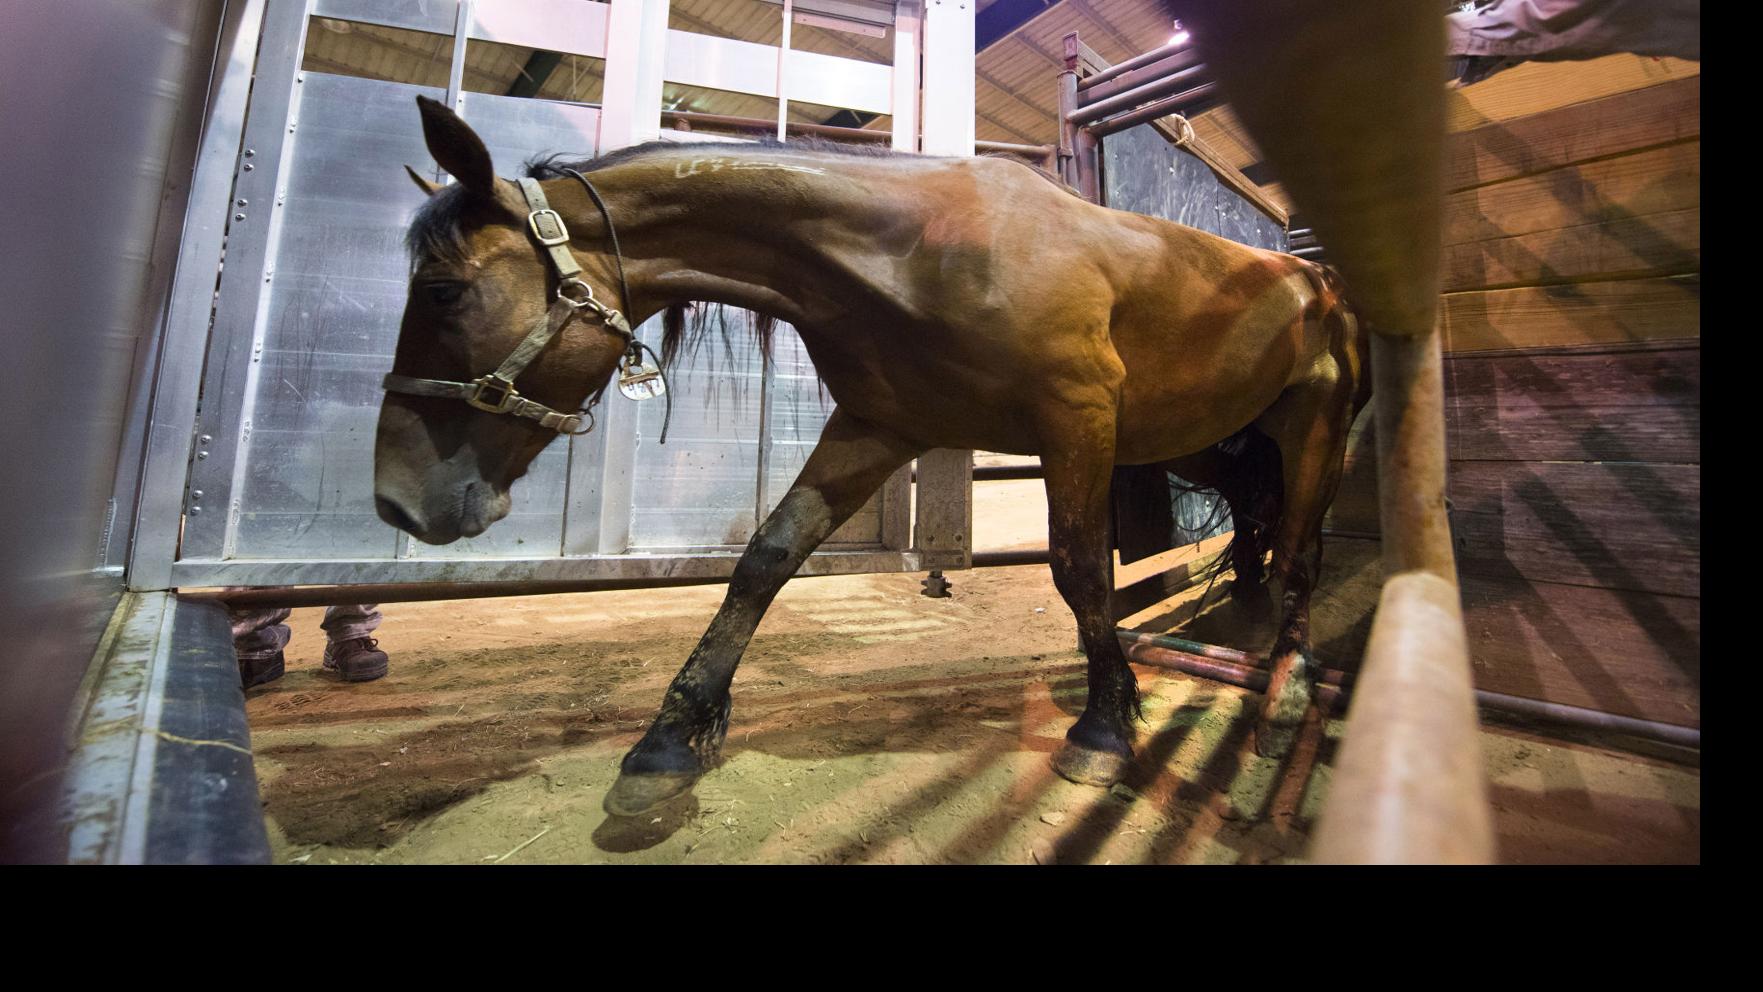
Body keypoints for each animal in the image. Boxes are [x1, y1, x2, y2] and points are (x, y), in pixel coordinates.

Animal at [368, 96, 1361, 817]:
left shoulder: (1076, 421)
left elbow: (1079, 568)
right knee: (1258, 519)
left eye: (444, 289)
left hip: (1312, 426)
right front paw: (667, 741)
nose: (398, 503)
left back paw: (1285, 690)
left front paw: (1104, 727)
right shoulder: (876, 428)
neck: (924, 251)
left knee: (1302, 552)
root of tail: (1312, 277)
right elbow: (765, 559)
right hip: (1201, 443)